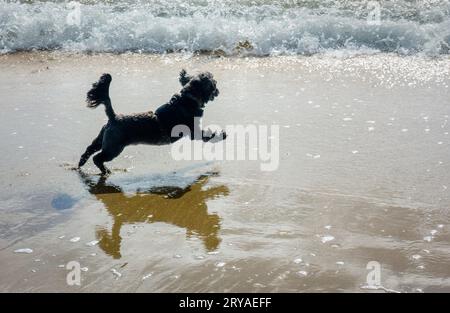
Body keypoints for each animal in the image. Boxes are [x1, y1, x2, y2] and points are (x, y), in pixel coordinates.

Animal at [78, 69, 225, 174]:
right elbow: (210, 136)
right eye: (214, 83)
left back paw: (81, 164)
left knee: (89, 149)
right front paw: (222, 134)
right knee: (97, 158)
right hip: (113, 148)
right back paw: (105, 171)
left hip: (103, 139)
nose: (218, 90)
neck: (187, 99)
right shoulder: (195, 132)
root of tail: (114, 117)